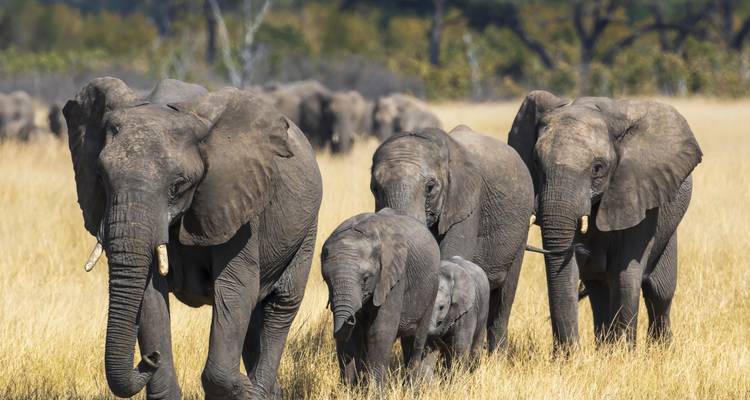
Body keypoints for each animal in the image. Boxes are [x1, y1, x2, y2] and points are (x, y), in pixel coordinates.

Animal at [63, 77, 322, 399]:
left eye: (178, 185)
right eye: (100, 177)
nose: (149, 358)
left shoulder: (237, 203)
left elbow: (236, 289)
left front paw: (243, 389)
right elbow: (150, 295)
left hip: (307, 227)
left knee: (281, 303)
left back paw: (260, 389)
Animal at [321, 208, 440, 387]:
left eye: (366, 278)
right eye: (327, 280)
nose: (352, 318)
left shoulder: (394, 276)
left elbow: (380, 332)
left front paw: (374, 391)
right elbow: (349, 339)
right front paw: (348, 389)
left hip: (432, 289)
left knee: (416, 341)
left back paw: (411, 388)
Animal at [507, 90, 702, 349]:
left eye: (598, 168)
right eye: (537, 163)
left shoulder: (639, 192)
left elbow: (626, 272)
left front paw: (625, 353)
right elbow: (571, 270)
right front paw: (571, 356)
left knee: (659, 290)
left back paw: (660, 349)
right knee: (598, 288)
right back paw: (604, 348)